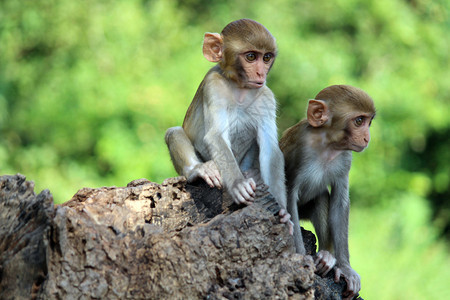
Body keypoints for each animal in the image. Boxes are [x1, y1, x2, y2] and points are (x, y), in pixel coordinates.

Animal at [166, 19, 292, 227]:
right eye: (251, 57)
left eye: (266, 57)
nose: (260, 73)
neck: (240, 89)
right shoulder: (214, 85)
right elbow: (215, 135)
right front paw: (238, 185)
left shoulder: (267, 97)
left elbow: (271, 149)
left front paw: (284, 213)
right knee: (174, 132)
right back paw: (199, 169)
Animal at [282, 85, 376, 300]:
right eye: (359, 121)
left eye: (369, 122)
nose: (366, 138)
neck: (327, 144)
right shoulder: (300, 148)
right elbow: (288, 195)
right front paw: (302, 258)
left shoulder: (346, 158)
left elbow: (339, 204)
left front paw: (346, 268)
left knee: (322, 197)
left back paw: (326, 255)